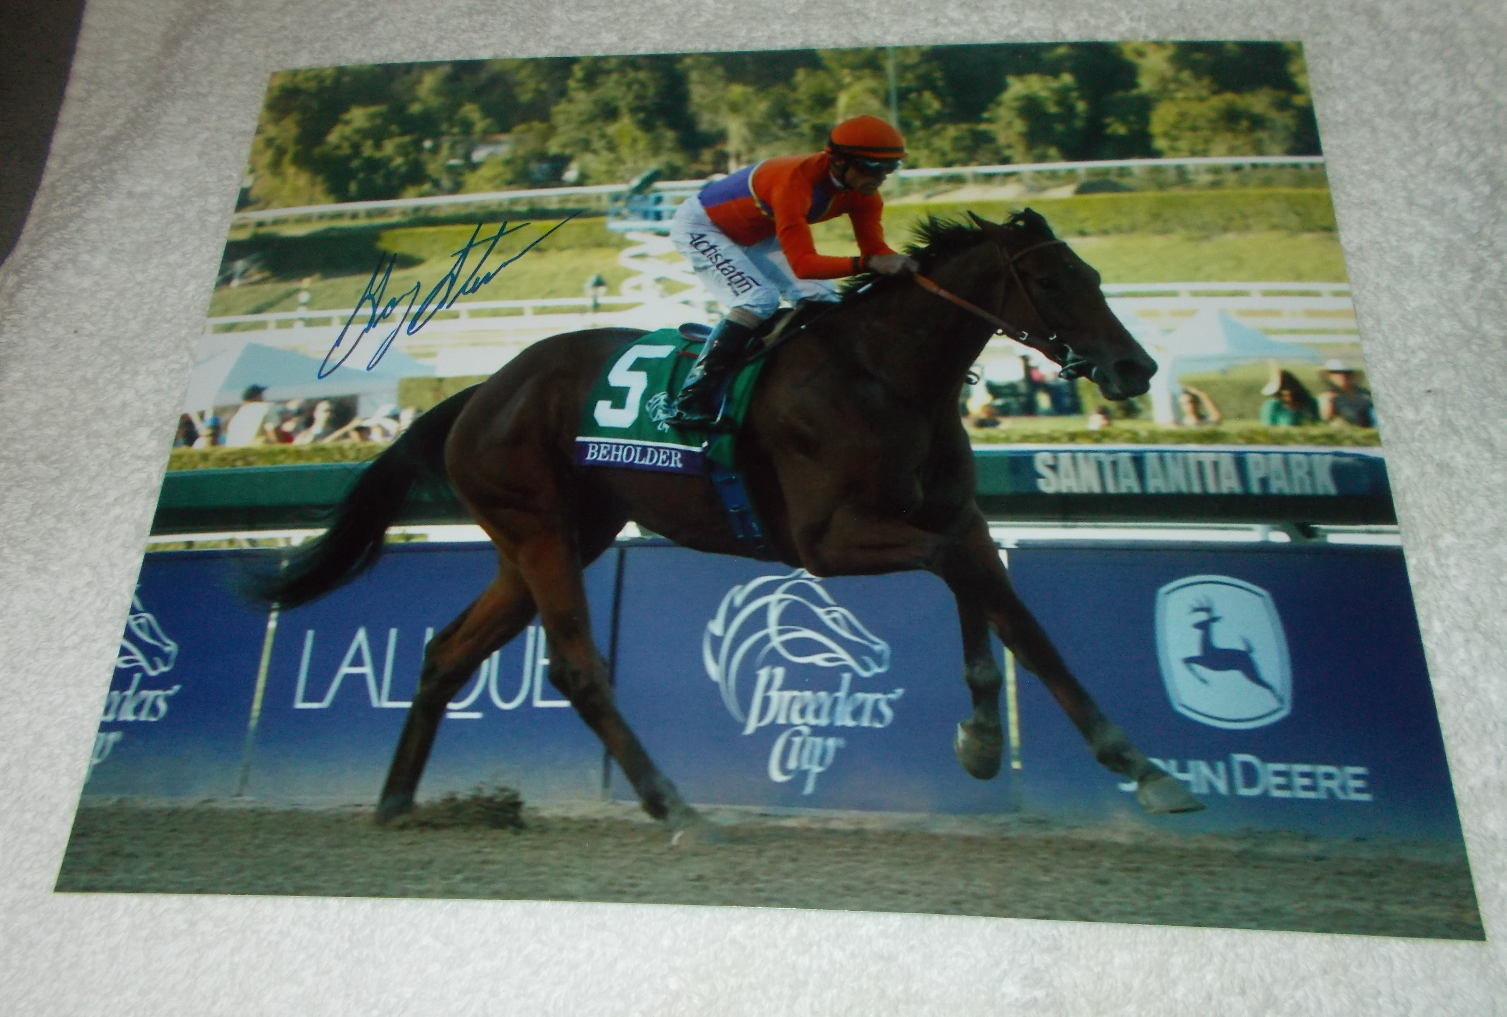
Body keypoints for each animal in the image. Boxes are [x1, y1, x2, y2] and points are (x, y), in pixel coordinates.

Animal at [256, 210, 1199, 831]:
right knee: (575, 668)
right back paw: (670, 802)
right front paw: (1118, 760)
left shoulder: (957, 516)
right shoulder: (826, 541)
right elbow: (984, 595)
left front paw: (1011, 743)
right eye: (1049, 279)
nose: (1135, 367)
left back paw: (396, 800)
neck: (885, 377)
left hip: (547, 541)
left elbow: (1004, 609)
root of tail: (479, 392)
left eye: (1094, 277)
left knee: (447, 652)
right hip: (538, 530)